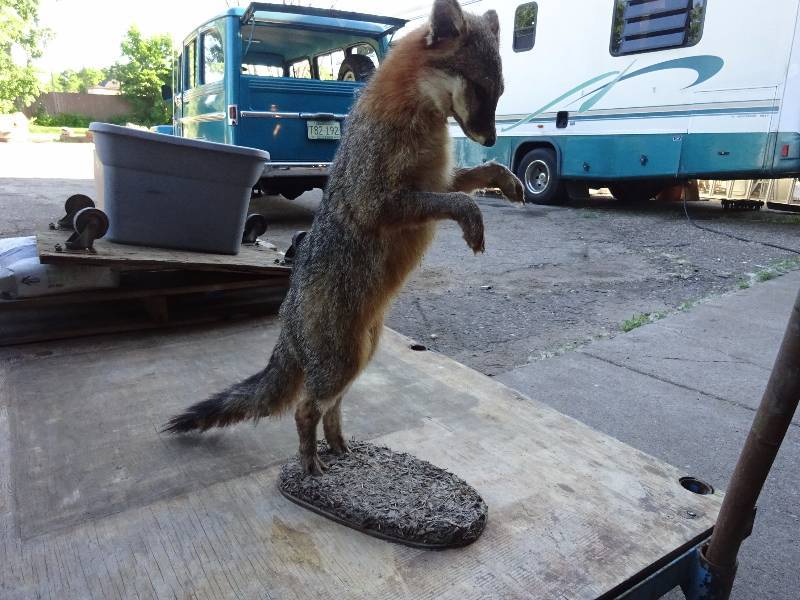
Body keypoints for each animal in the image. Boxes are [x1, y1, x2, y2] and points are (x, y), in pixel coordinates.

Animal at [164, 0, 525, 475]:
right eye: (481, 90)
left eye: (499, 92)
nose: (493, 137)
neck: (417, 117)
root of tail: (287, 322)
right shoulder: (382, 200)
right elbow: (463, 202)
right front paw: (475, 220)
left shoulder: (439, 181)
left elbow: (478, 179)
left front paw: (506, 179)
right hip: (342, 364)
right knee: (305, 409)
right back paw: (311, 461)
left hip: (358, 361)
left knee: (330, 409)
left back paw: (339, 450)